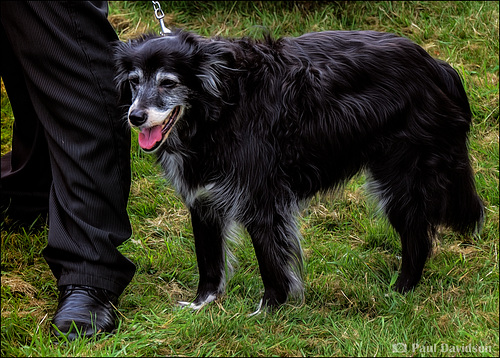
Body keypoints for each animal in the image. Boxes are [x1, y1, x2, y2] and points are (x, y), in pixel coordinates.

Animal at [114, 28, 484, 314]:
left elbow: (270, 261)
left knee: (417, 239)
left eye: (168, 82)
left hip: (402, 180)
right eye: (134, 82)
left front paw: (269, 310)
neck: (220, 105)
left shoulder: (262, 201)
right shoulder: (202, 200)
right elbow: (208, 260)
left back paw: (401, 290)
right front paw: (201, 304)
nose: (135, 117)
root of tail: (436, 65)